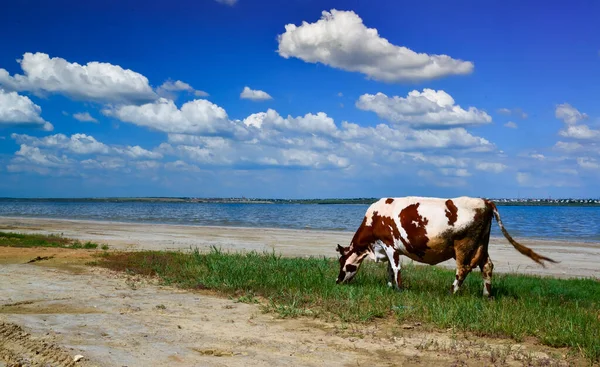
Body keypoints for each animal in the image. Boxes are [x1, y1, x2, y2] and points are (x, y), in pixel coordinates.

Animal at [336, 197, 556, 298]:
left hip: (464, 245)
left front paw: (398, 288)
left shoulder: (389, 244)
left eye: (342, 263)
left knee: (463, 269)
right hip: (481, 245)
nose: (337, 281)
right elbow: (390, 269)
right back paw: (486, 295)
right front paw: (390, 287)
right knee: (487, 266)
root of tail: (485, 200)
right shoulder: (390, 249)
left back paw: (452, 292)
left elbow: (396, 268)